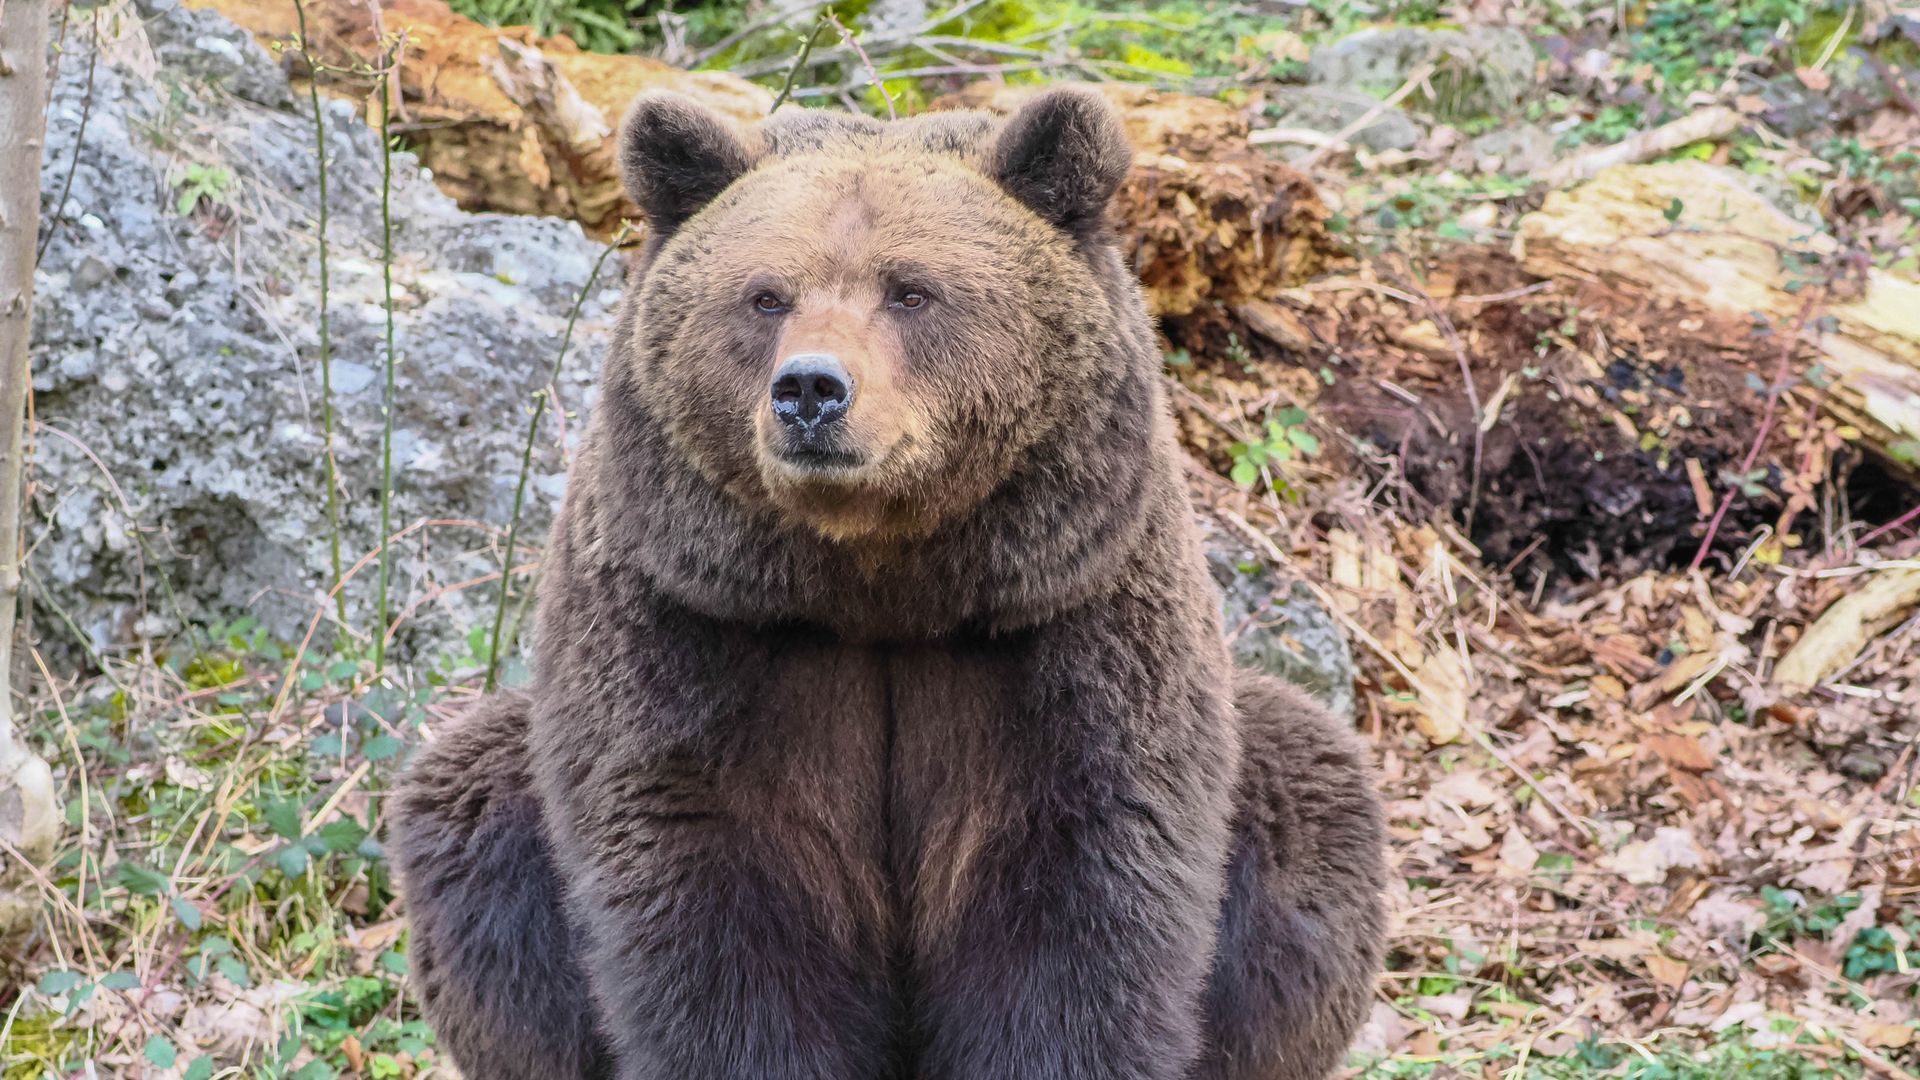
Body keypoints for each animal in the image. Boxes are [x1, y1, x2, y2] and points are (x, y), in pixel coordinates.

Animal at [393, 86, 1387, 1080]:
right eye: (766, 295)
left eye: (911, 290)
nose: (810, 390)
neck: (879, 580)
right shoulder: (689, 622)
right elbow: (709, 907)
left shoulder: (1070, 622)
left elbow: (1082, 908)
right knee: (472, 827)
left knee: (1309, 804)